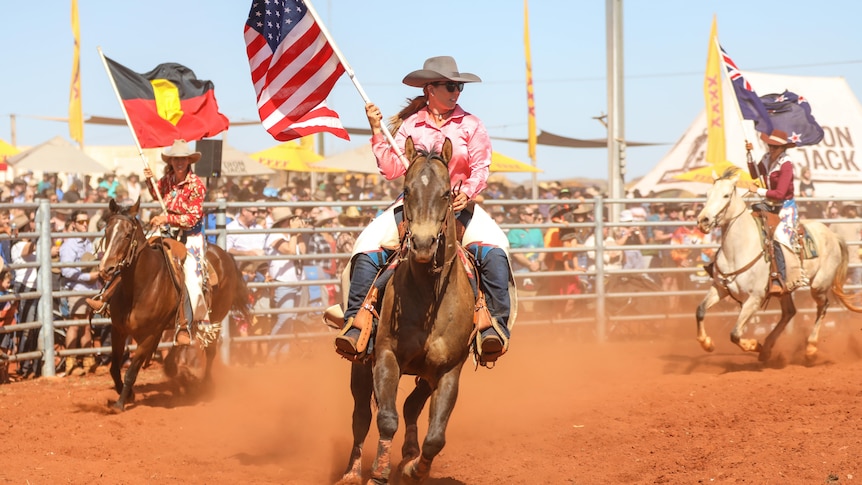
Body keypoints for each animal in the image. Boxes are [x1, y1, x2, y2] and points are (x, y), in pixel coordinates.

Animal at [101, 197, 251, 408]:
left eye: (127, 234)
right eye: (106, 231)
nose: (106, 268)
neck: (140, 286)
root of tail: (225, 255)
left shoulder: (149, 335)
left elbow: (131, 371)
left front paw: (120, 404)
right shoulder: (118, 330)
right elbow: (114, 368)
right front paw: (128, 394)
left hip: (214, 319)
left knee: (210, 351)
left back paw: (205, 387)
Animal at [338, 138, 476, 482]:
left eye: (447, 193)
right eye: (407, 189)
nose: (424, 244)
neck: (429, 296)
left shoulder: (448, 369)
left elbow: (436, 436)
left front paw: (414, 468)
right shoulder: (386, 356)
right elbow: (386, 419)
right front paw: (379, 473)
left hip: (425, 373)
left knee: (412, 407)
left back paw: (409, 454)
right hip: (361, 363)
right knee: (361, 415)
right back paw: (352, 472)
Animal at [696, 166, 862, 360]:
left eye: (726, 195)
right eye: (708, 194)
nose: (703, 221)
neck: (738, 250)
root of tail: (833, 235)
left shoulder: (755, 298)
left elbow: (735, 333)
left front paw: (754, 345)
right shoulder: (720, 288)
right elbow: (700, 310)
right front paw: (707, 344)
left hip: (819, 285)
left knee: (823, 306)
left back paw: (810, 347)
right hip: (785, 288)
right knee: (789, 312)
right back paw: (767, 348)